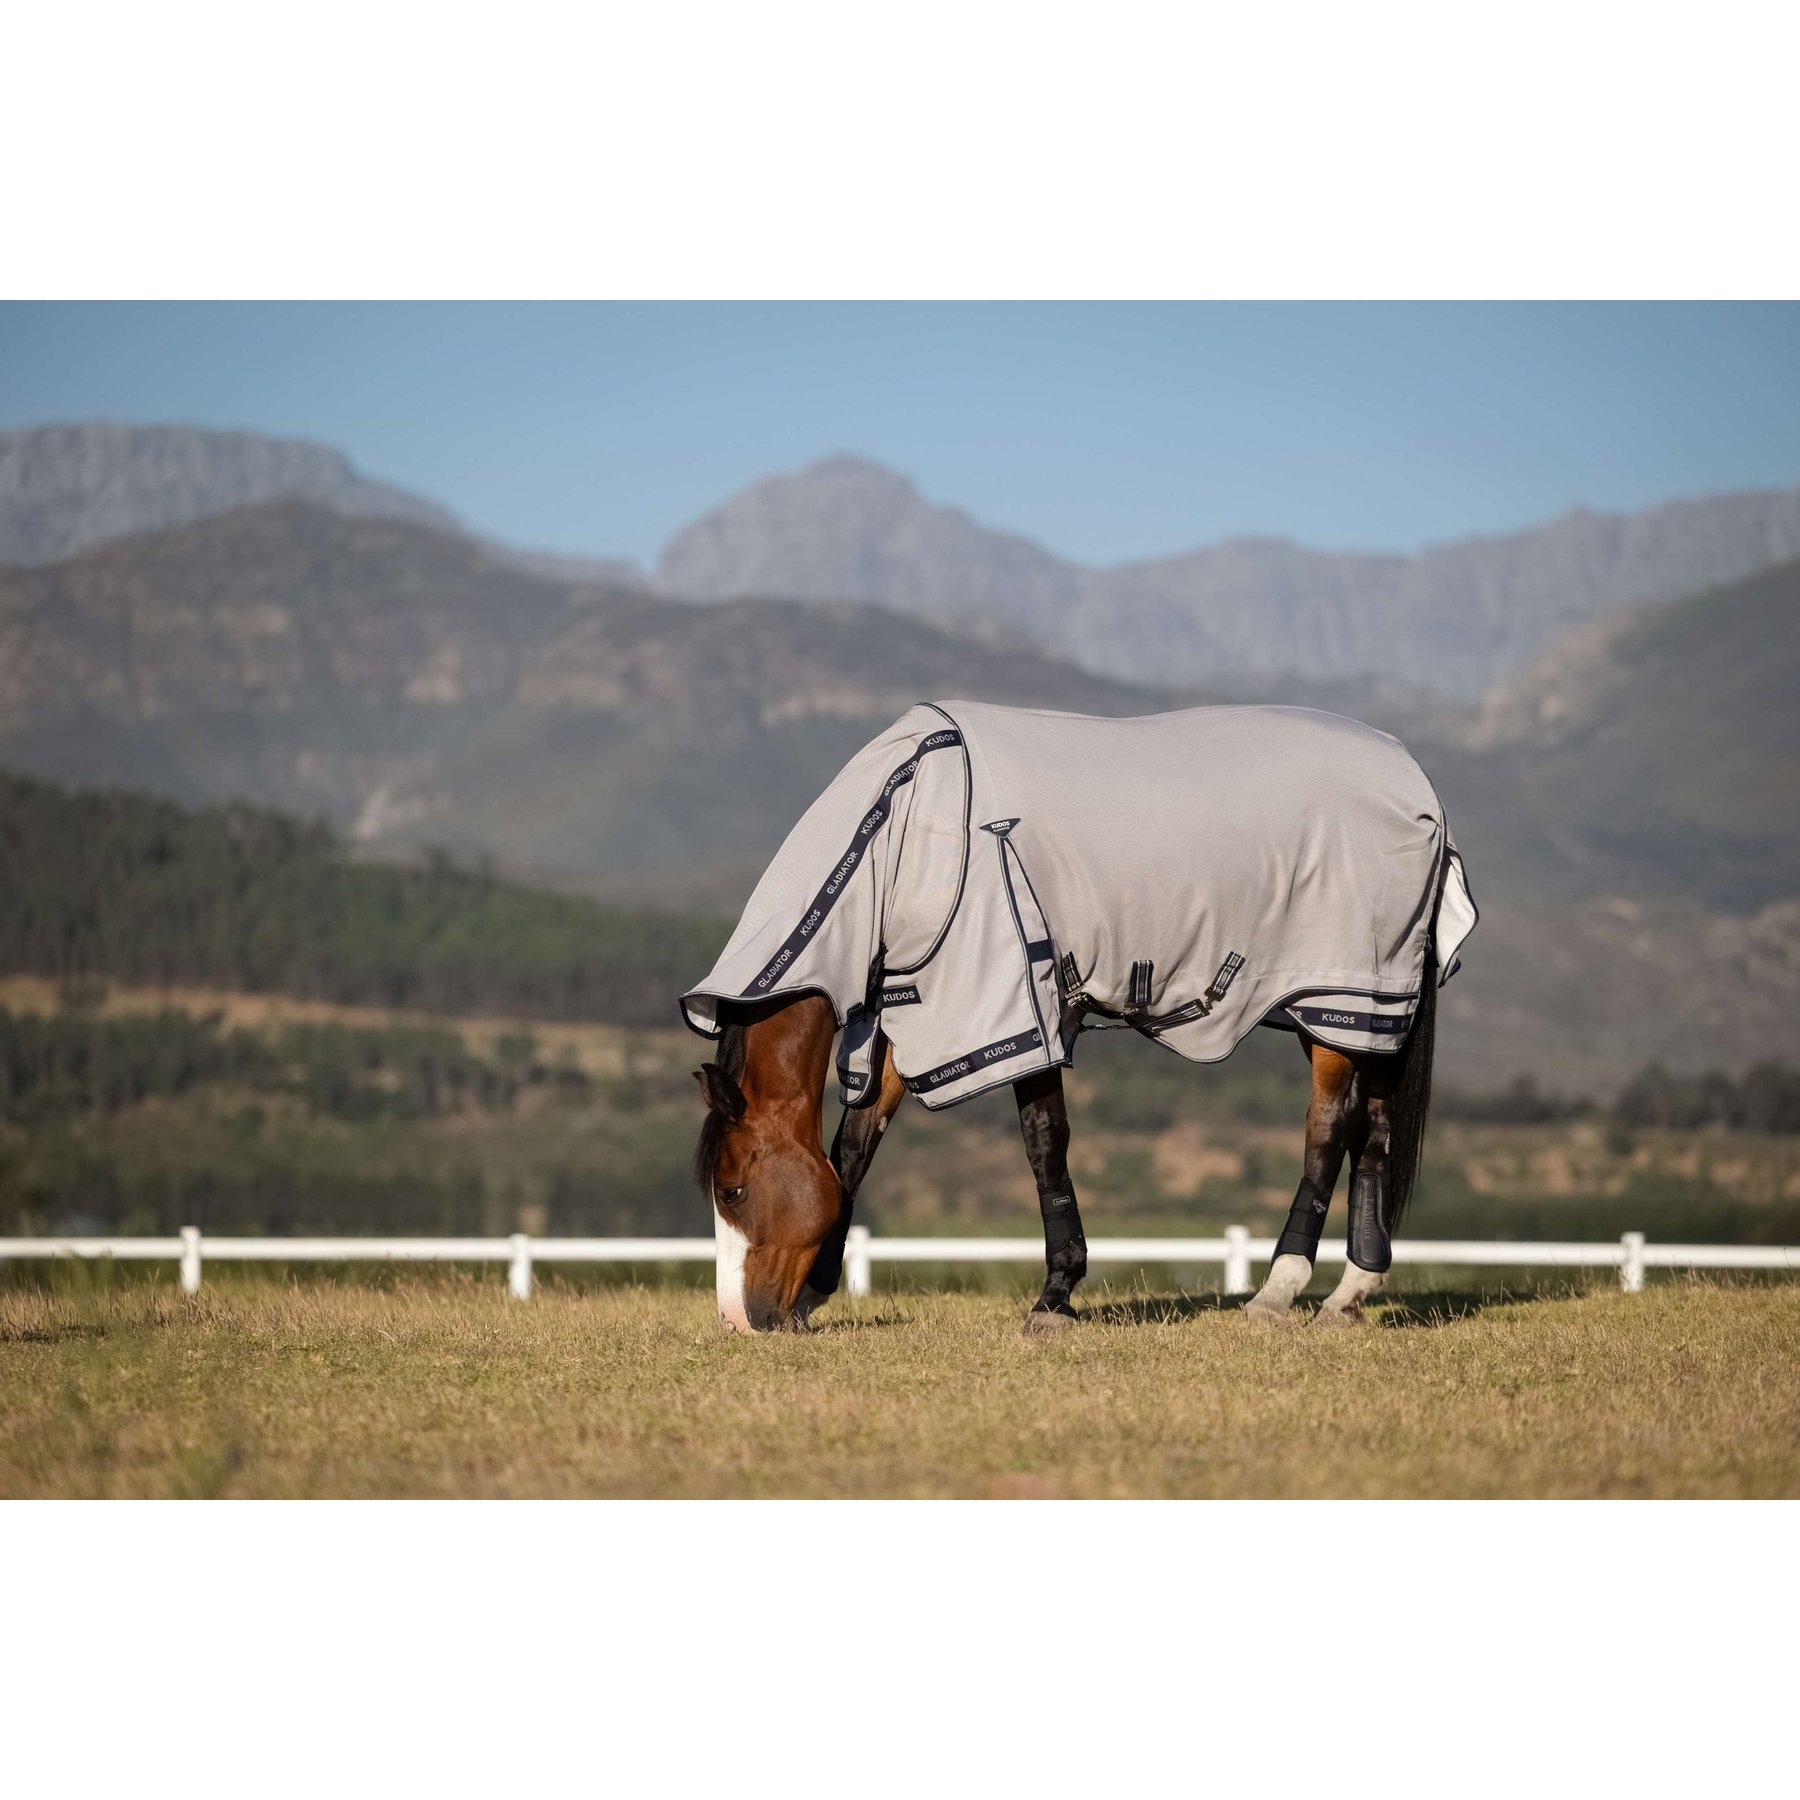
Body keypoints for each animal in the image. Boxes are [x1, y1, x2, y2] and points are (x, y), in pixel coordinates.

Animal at [686, 700, 1476, 1333]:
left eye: (732, 1190)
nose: (738, 1320)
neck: (908, 824)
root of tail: (1419, 787)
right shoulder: (916, 1012)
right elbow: (850, 1150)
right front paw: (817, 1292)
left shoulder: (1013, 1006)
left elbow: (1045, 1143)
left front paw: (1055, 1297)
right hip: (1356, 1018)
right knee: (1373, 1130)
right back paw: (1347, 1296)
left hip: (1340, 998)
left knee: (1328, 1131)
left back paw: (1277, 1293)